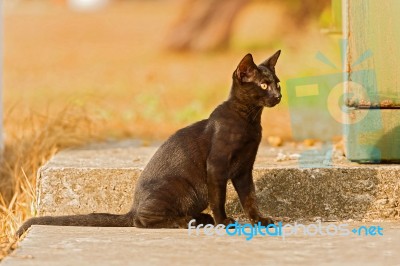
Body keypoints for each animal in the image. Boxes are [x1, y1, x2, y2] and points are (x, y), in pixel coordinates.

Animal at [18, 51, 282, 236]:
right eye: (263, 85)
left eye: (277, 83)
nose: (278, 96)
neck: (249, 121)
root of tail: (133, 206)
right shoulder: (217, 167)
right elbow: (219, 198)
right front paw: (223, 222)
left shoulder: (244, 169)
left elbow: (250, 197)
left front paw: (260, 220)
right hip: (182, 188)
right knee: (141, 221)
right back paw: (188, 222)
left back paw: (200, 218)